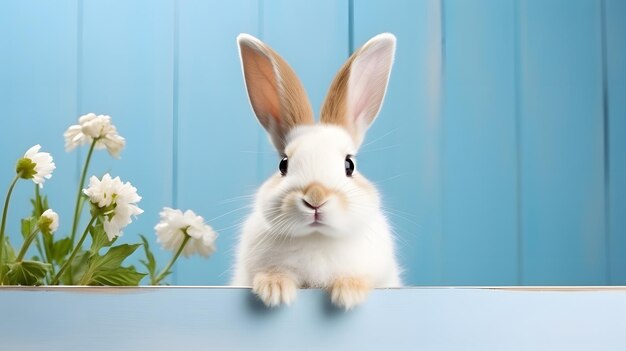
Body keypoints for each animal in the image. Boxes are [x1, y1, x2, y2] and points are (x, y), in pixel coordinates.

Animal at [230, 31, 400, 310]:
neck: (317, 237)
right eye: (283, 164)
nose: (315, 198)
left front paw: (348, 292)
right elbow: (274, 273)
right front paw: (274, 290)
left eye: (349, 165)